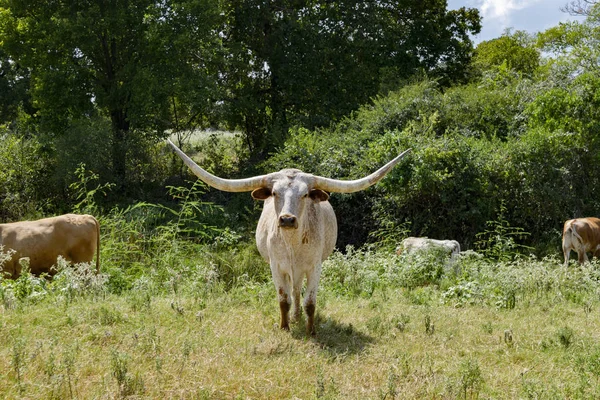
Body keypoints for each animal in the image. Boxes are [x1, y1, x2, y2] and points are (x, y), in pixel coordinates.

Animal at [169, 139, 412, 336]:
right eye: (275, 193)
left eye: (304, 194)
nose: (287, 219)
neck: (293, 243)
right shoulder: (276, 266)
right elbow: (283, 299)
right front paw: (285, 327)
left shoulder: (315, 266)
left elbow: (310, 302)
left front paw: (311, 331)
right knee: (292, 291)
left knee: (298, 290)